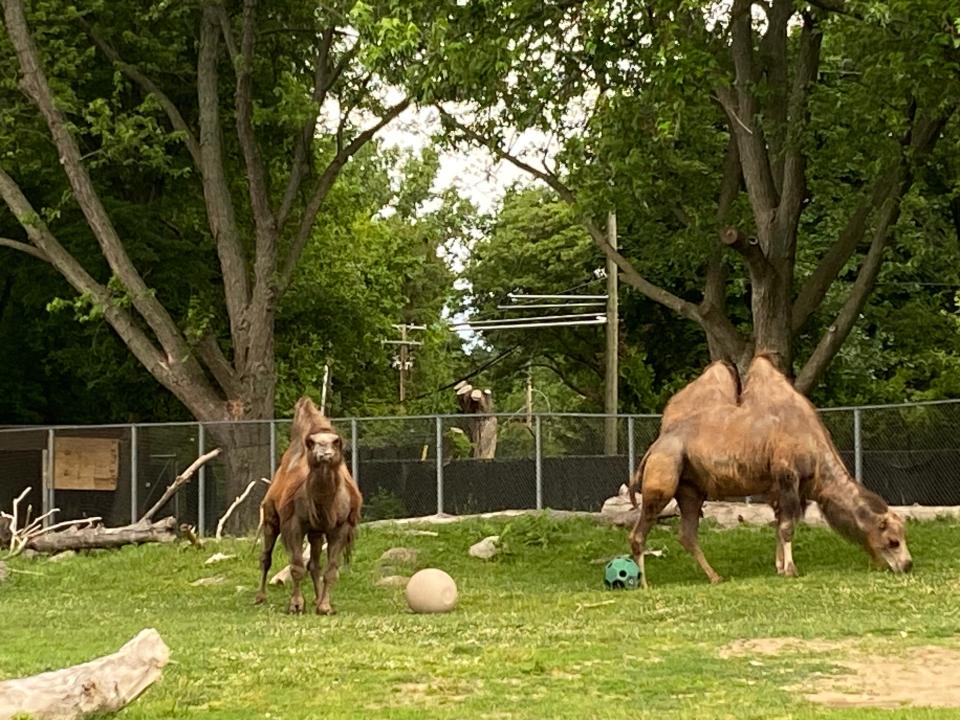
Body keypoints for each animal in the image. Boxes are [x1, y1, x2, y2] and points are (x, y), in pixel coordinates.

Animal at [253, 396, 362, 616]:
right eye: (312, 444)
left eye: (336, 442)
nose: (325, 453)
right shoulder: (293, 523)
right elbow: (296, 567)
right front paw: (296, 605)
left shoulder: (340, 526)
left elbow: (331, 570)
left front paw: (325, 606)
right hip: (270, 516)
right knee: (266, 556)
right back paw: (260, 597)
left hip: (316, 532)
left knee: (314, 564)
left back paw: (317, 598)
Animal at [628, 354, 912, 584]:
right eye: (893, 541)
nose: (907, 565)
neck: (813, 446)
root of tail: (654, 447)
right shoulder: (787, 477)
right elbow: (787, 527)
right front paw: (791, 570)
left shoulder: (788, 489)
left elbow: (780, 523)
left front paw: (779, 567)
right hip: (664, 472)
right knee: (641, 528)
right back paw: (644, 583)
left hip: (690, 489)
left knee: (687, 534)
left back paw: (715, 577)